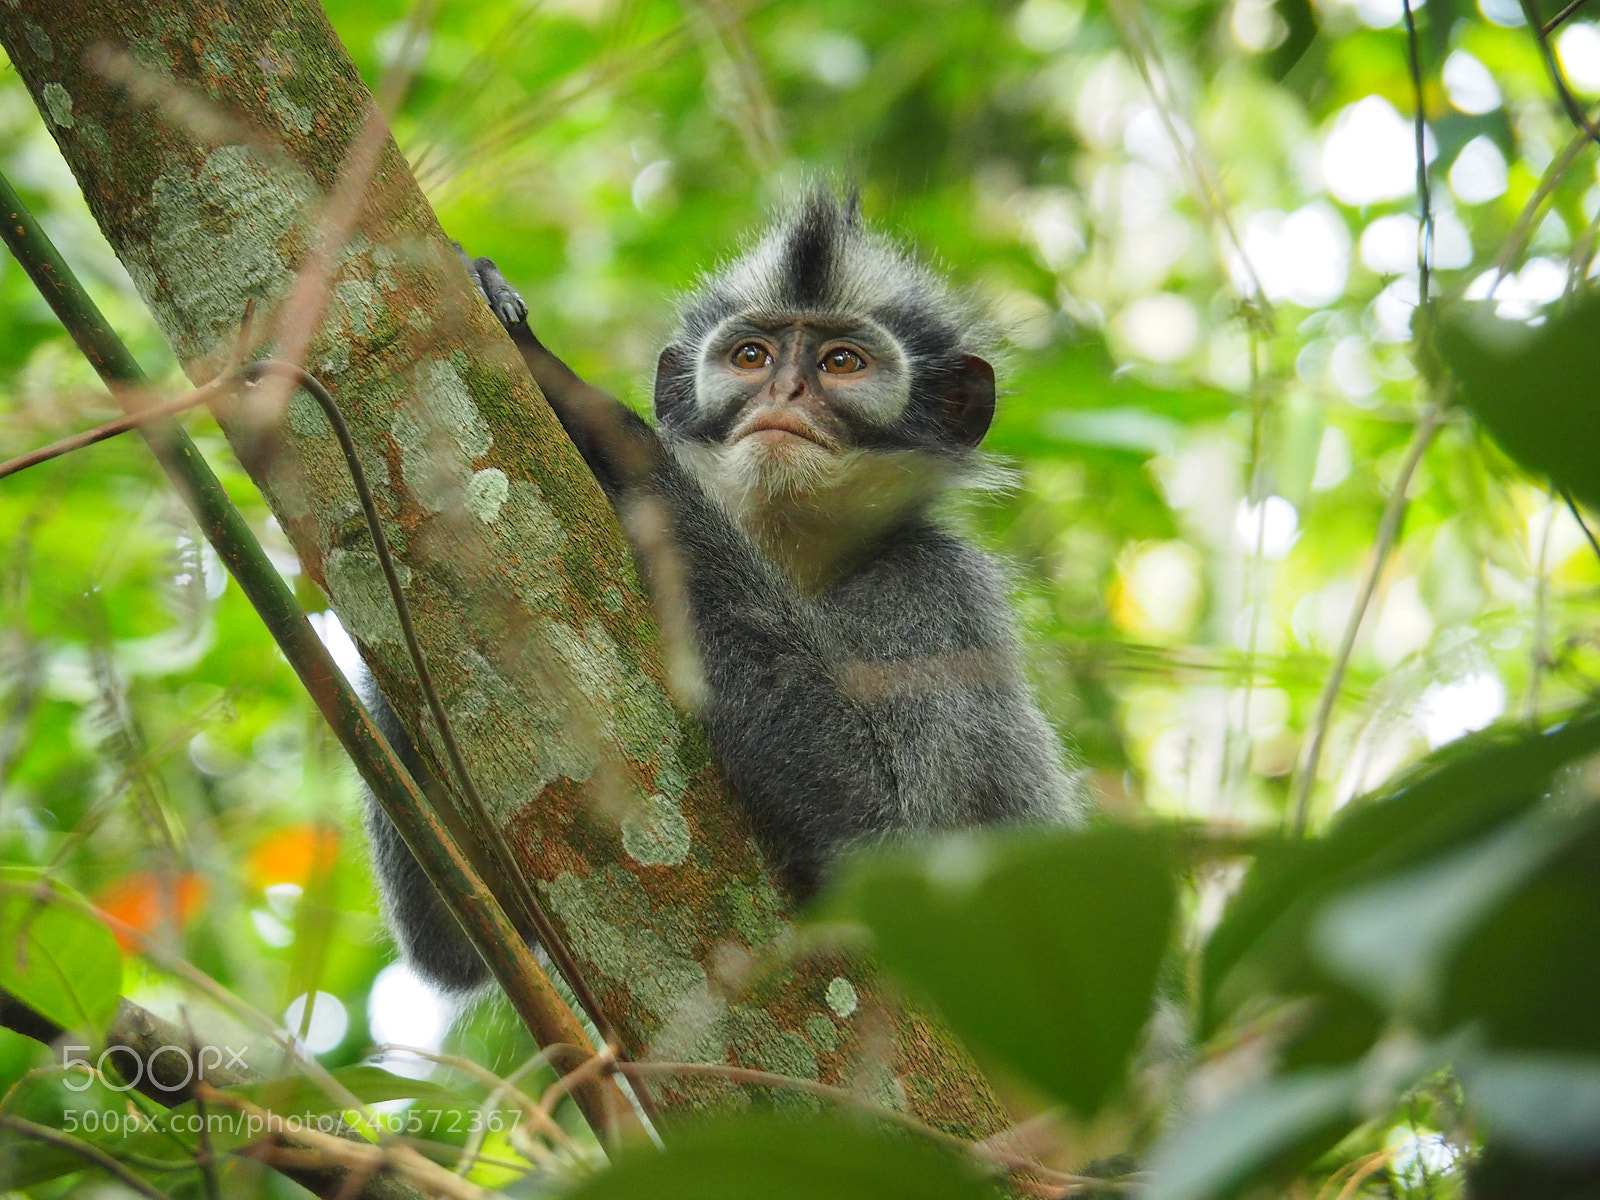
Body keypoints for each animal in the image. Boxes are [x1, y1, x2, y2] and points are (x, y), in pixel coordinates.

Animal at [358, 192, 1087, 993]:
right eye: (752, 358)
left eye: (842, 363)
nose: (785, 393)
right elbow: (458, 941)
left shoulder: (934, 590)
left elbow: (893, 852)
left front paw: (589, 414)